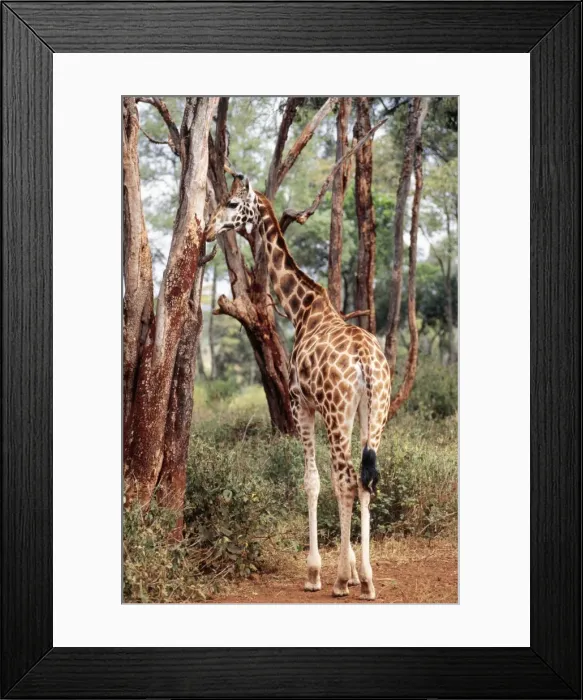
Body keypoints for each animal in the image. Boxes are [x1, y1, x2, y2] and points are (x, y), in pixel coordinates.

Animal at [205, 175, 391, 599]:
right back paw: (368, 581)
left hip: (336, 413)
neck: (302, 309)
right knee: (366, 479)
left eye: (232, 203)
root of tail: (365, 360)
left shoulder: (299, 404)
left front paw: (317, 572)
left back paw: (338, 581)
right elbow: (337, 479)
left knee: (346, 480)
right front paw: (352, 571)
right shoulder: (340, 410)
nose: (207, 230)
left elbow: (312, 482)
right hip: (376, 411)